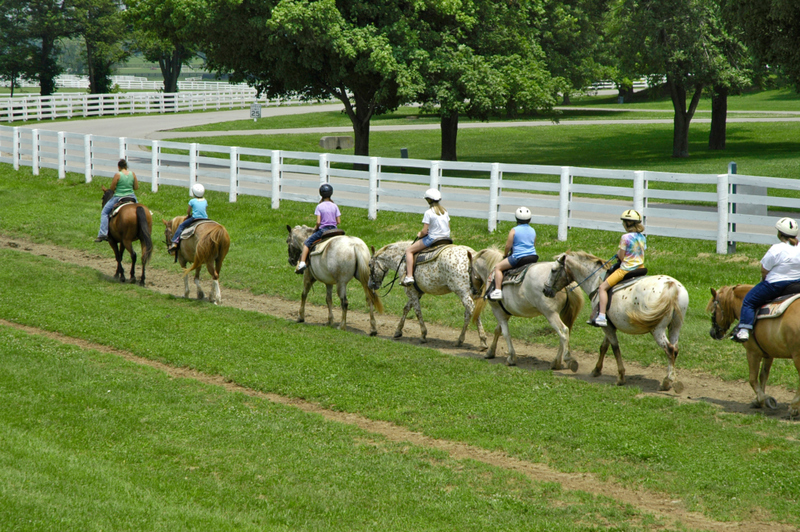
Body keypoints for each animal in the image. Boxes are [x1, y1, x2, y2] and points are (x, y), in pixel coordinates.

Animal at [544, 249, 688, 390]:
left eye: (553, 270)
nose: (545, 290)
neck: (597, 280)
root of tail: (672, 285)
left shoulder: (606, 326)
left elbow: (615, 348)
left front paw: (620, 377)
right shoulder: (609, 324)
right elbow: (604, 347)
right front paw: (597, 370)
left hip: (657, 329)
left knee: (670, 350)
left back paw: (667, 382)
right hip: (675, 326)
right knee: (675, 350)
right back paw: (671, 379)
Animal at [708, 284, 800, 418]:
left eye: (713, 310)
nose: (712, 333)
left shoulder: (752, 353)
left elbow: (752, 378)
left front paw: (764, 399)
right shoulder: (768, 353)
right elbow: (763, 376)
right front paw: (758, 401)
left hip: (797, 356)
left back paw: (794, 407)